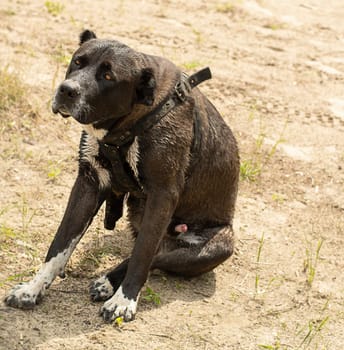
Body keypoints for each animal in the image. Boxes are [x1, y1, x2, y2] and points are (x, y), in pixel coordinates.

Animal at [6, 30, 242, 322]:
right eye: (77, 62)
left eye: (108, 76)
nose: (66, 90)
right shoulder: (88, 184)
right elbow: (59, 245)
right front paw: (33, 289)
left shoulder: (162, 196)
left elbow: (142, 256)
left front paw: (124, 301)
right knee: (155, 251)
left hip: (218, 245)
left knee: (154, 256)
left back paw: (109, 283)